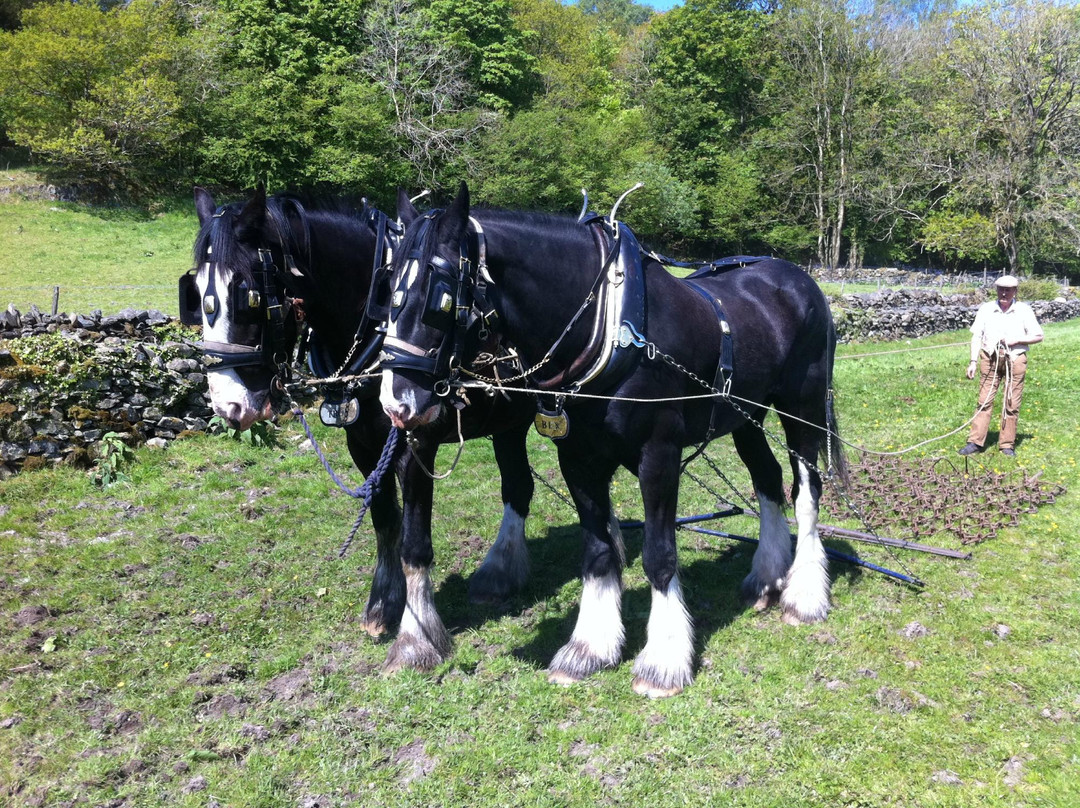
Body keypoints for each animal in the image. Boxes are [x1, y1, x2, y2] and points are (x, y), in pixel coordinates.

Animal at [189, 187, 540, 669]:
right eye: (194, 292)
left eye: (249, 296)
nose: (229, 405)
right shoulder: (363, 444)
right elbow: (385, 522)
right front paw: (384, 605)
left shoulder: (416, 443)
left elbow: (413, 541)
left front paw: (416, 639)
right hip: (508, 423)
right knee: (518, 486)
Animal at [384, 182, 846, 695]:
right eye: (387, 288)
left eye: (440, 298)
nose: (396, 403)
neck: (610, 325)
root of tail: (798, 278)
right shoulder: (577, 458)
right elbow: (598, 552)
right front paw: (590, 647)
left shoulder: (659, 455)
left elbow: (660, 555)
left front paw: (664, 660)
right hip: (745, 415)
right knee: (767, 477)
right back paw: (766, 578)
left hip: (802, 408)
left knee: (807, 489)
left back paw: (805, 594)